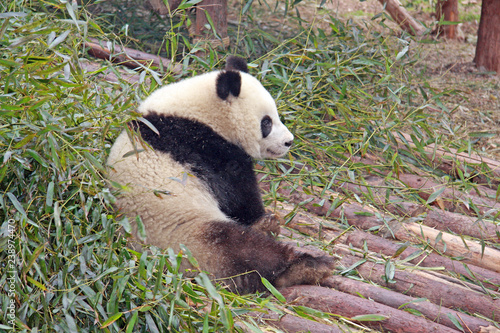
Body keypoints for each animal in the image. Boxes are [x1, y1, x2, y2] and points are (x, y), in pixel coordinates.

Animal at [106, 55, 332, 292]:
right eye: (267, 122)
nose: (289, 141)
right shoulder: (203, 146)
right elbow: (237, 192)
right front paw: (260, 217)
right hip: (190, 235)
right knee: (246, 249)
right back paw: (306, 266)